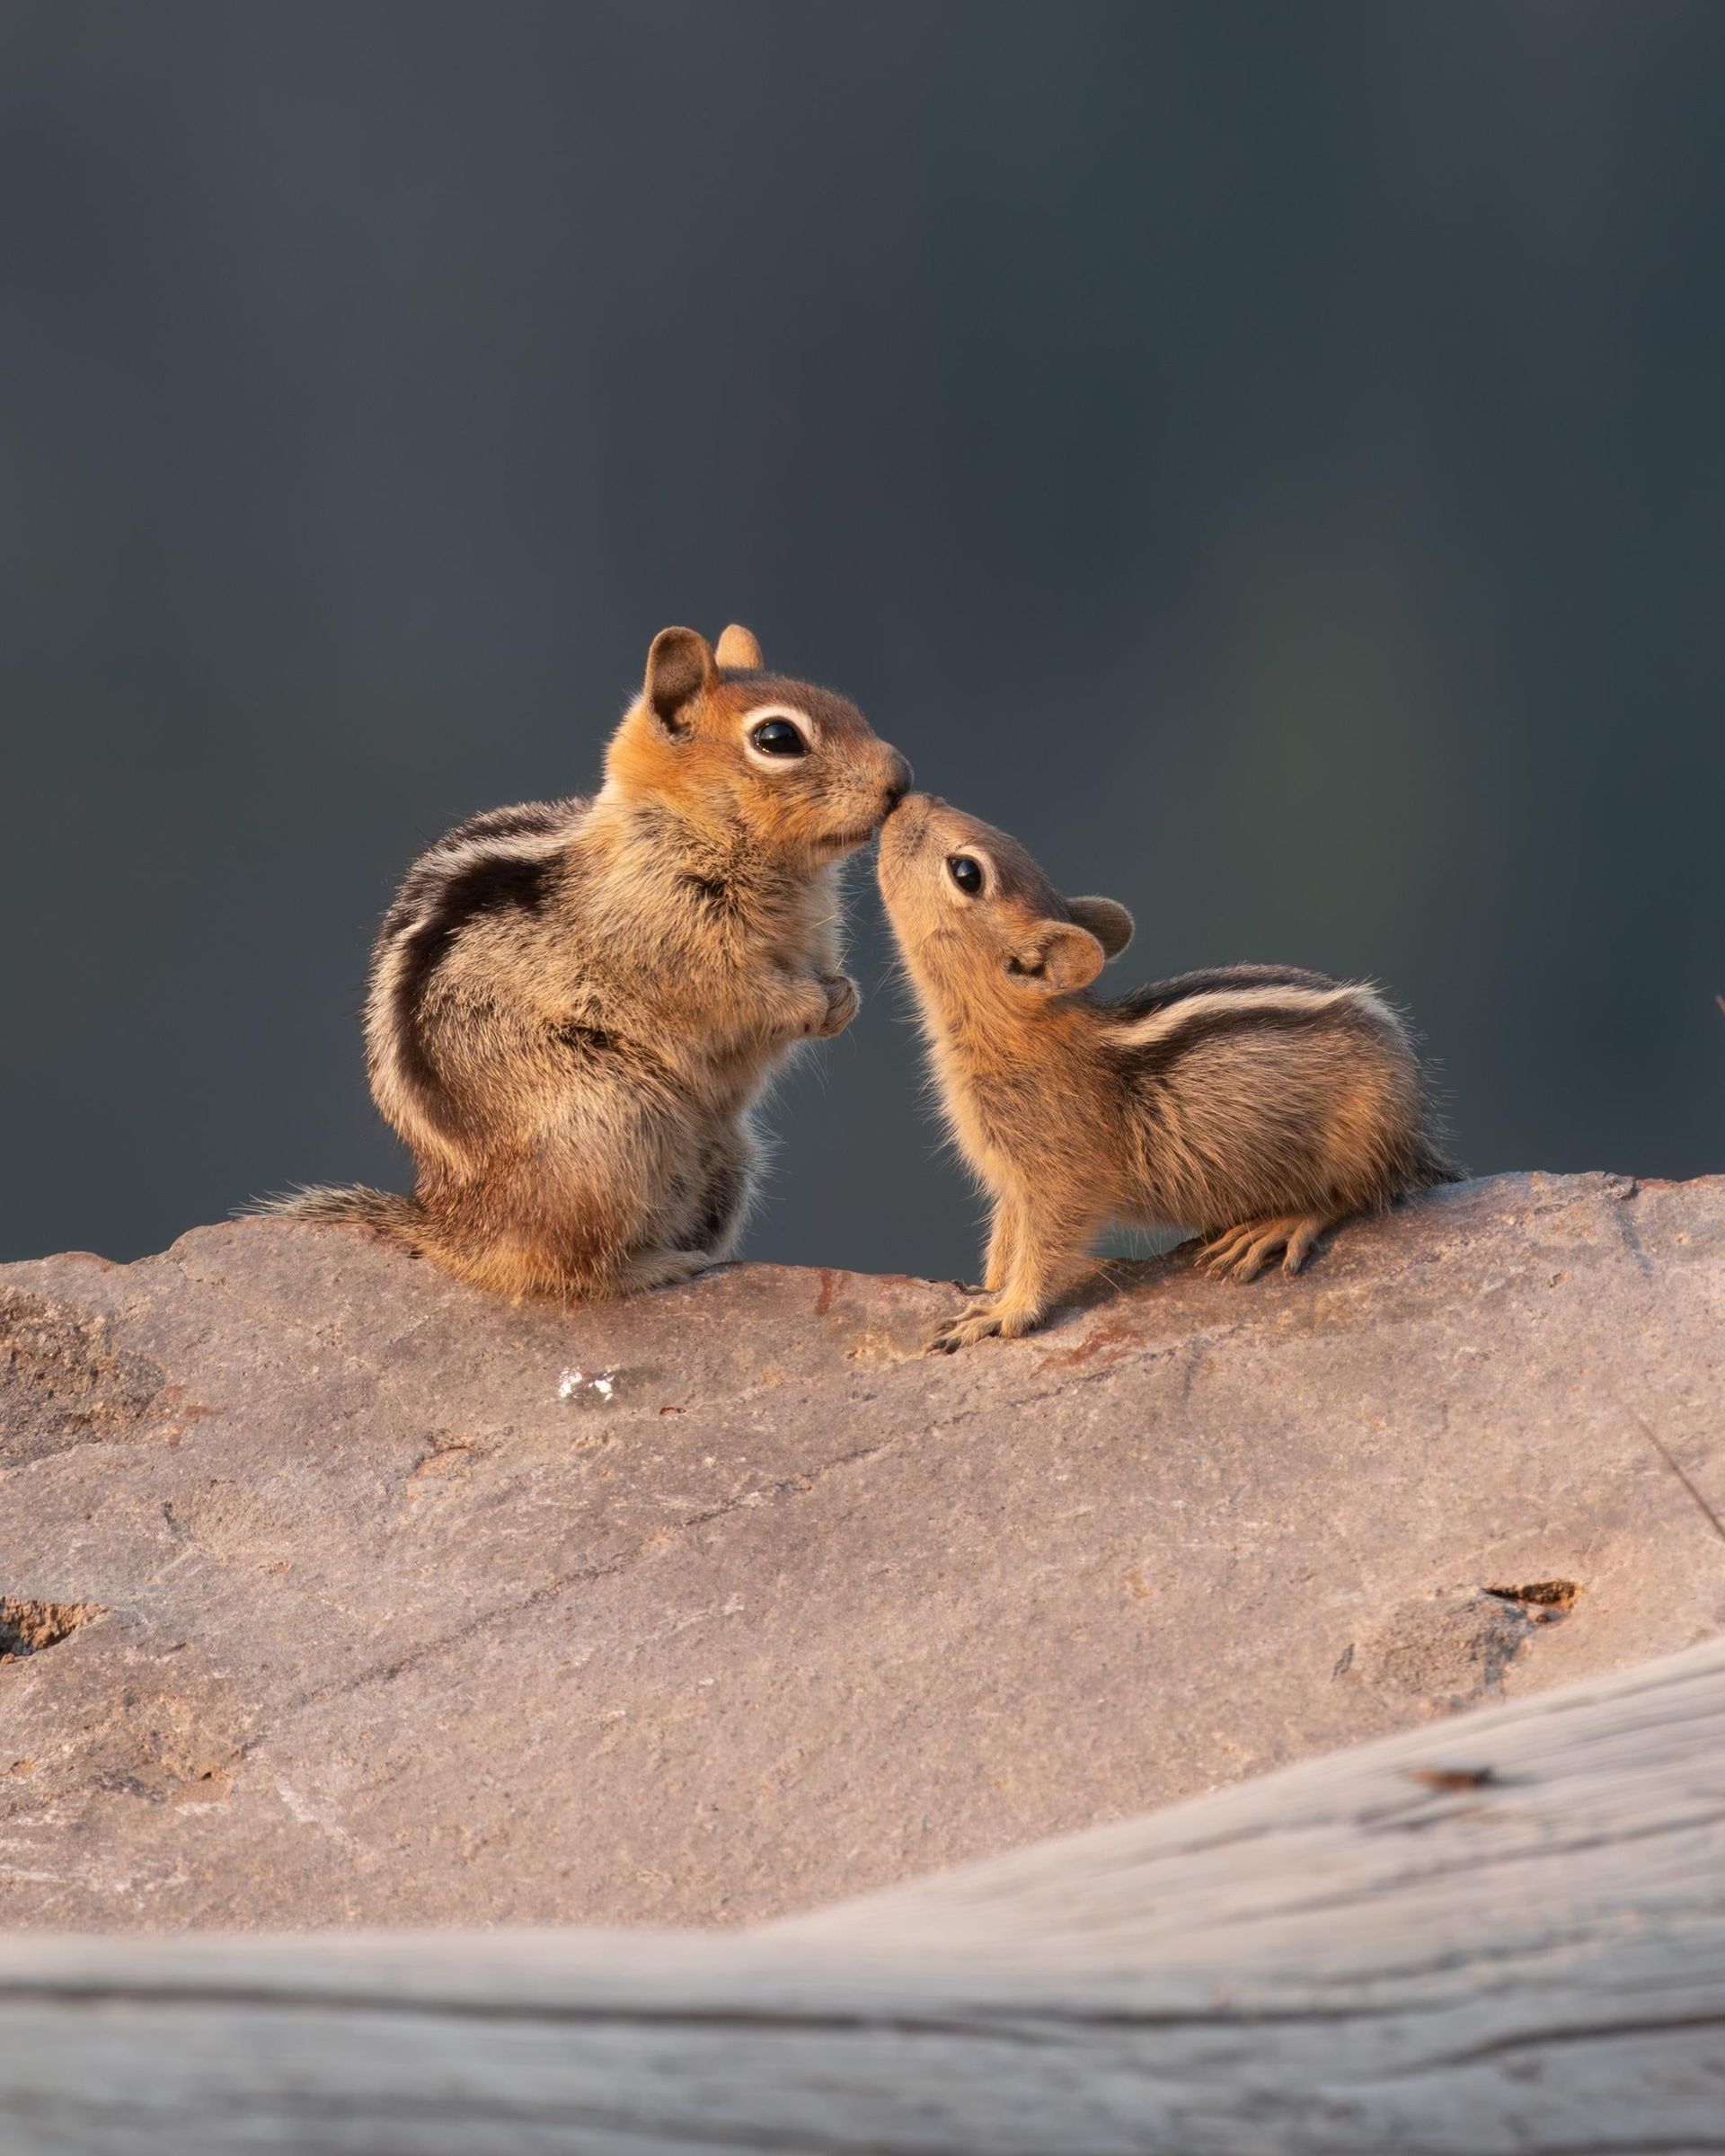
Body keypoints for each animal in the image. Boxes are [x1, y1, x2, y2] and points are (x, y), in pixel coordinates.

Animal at [266, 625, 911, 1299]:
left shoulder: (813, 941)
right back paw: (656, 1268)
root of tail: (456, 1226)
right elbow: (738, 992)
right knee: (564, 1268)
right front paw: (810, 1003)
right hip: (614, 1123)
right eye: (778, 738)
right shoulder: (669, 939)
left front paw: (844, 999)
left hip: (728, 1161)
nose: (902, 780)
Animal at [877, 793, 1457, 1351]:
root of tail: (1415, 1136)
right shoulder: (1011, 1180)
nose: (906, 797)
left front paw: (1004, 1313)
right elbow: (1006, 1239)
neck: (1015, 1030)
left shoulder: (1061, 1176)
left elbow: (1046, 1246)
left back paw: (1280, 1225)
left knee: (1358, 1196)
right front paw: (990, 1287)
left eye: (966, 873)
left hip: (1361, 1139)